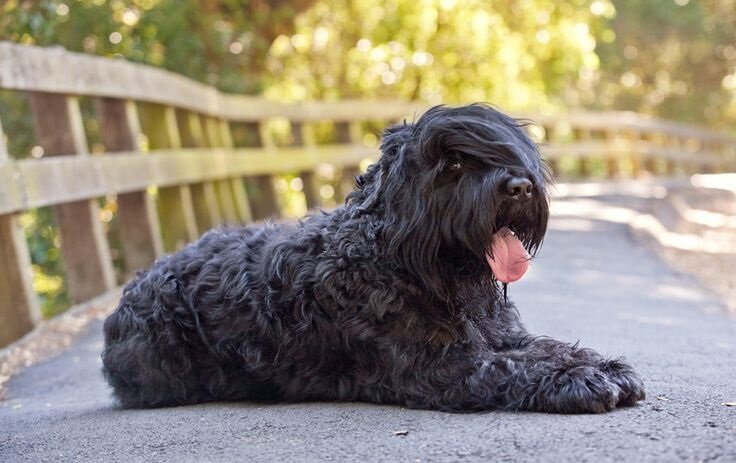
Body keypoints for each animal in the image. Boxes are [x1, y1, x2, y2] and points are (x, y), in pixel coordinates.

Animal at [102, 104, 644, 414]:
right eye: (452, 163)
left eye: (504, 151)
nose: (519, 186)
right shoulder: (437, 366)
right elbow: (509, 369)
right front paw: (576, 381)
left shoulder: (501, 334)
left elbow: (547, 346)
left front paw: (602, 365)